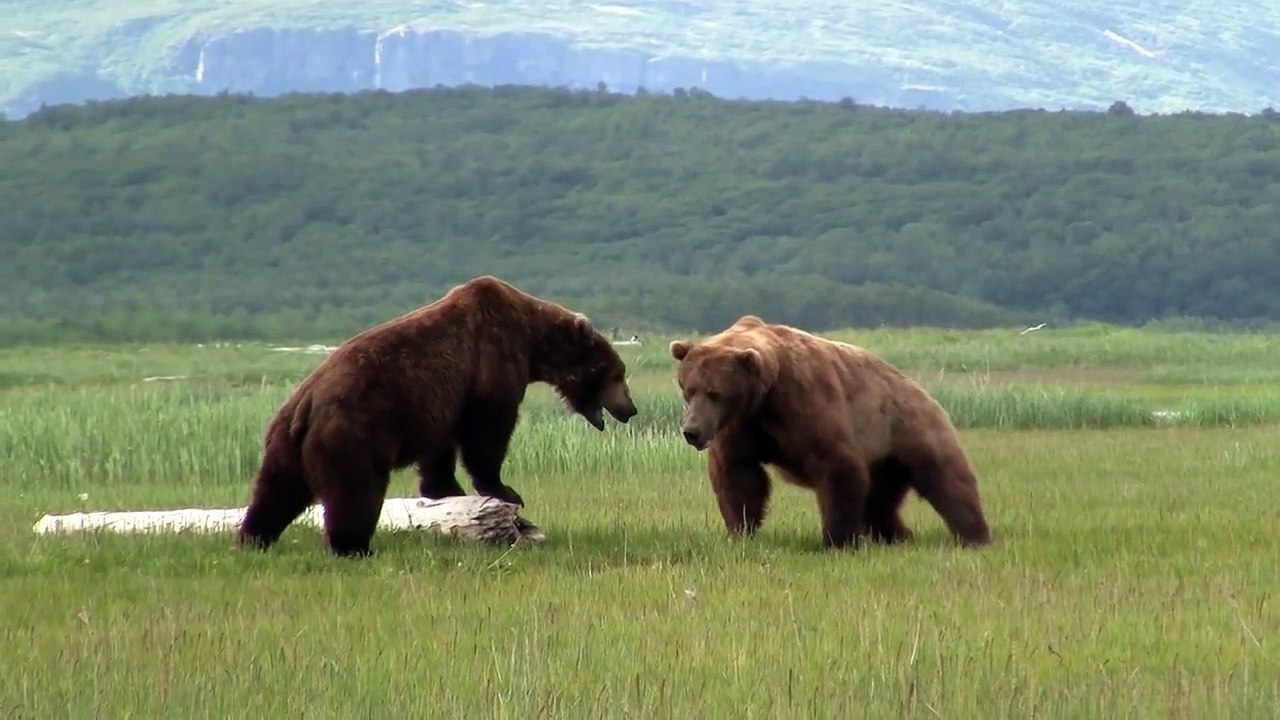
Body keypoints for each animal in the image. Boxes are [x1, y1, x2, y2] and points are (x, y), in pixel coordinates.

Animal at [237, 275, 639, 557]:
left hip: (285, 442)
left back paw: (253, 537)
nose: (630, 409)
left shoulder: (439, 402)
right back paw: (355, 547)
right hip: (353, 431)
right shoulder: (493, 360)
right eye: (616, 373)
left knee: (275, 491)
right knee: (355, 491)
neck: (532, 341)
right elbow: (488, 429)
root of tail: (307, 405)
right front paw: (504, 489)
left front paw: (445, 489)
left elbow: (440, 446)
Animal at [668, 315, 991, 550]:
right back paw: (897, 536)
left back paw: (974, 536)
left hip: (910, 432)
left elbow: (837, 466)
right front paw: (740, 531)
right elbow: (738, 475)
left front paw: (836, 541)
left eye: (715, 393)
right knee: (879, 502)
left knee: (948, 481)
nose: (692, 430)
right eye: (688, 390)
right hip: (883, 461)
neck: (764, 398)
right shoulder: (742, 427)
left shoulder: (805, 404)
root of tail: (924, 392)